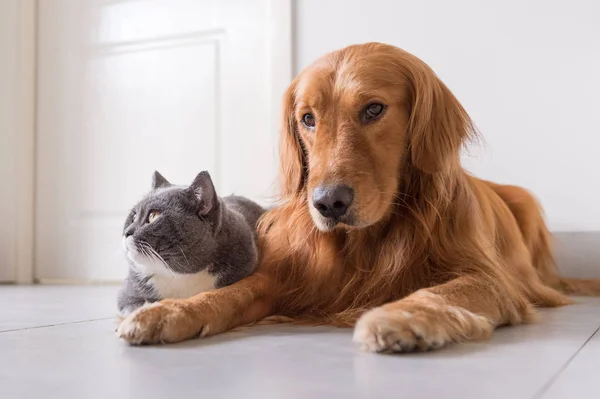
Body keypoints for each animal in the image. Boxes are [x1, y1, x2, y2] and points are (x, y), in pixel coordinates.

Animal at [117, 170, 264, 318]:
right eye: (133, 217)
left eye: (154, 215)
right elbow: (132, 306)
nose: (126, 232)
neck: (180, 276)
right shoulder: (127, 294)